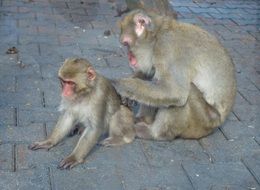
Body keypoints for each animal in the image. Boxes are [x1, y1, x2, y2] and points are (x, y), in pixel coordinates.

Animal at [112, 9, 237, 140]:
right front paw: (127, 92)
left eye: (126, 44)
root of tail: (218, 122)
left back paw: (154, 133)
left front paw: (120, 84)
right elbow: (150, 73)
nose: (129, 58)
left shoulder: (168, 48)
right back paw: (144, 119)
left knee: (186, 92)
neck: (157, 36)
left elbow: (175, 92)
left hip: (203, 121)